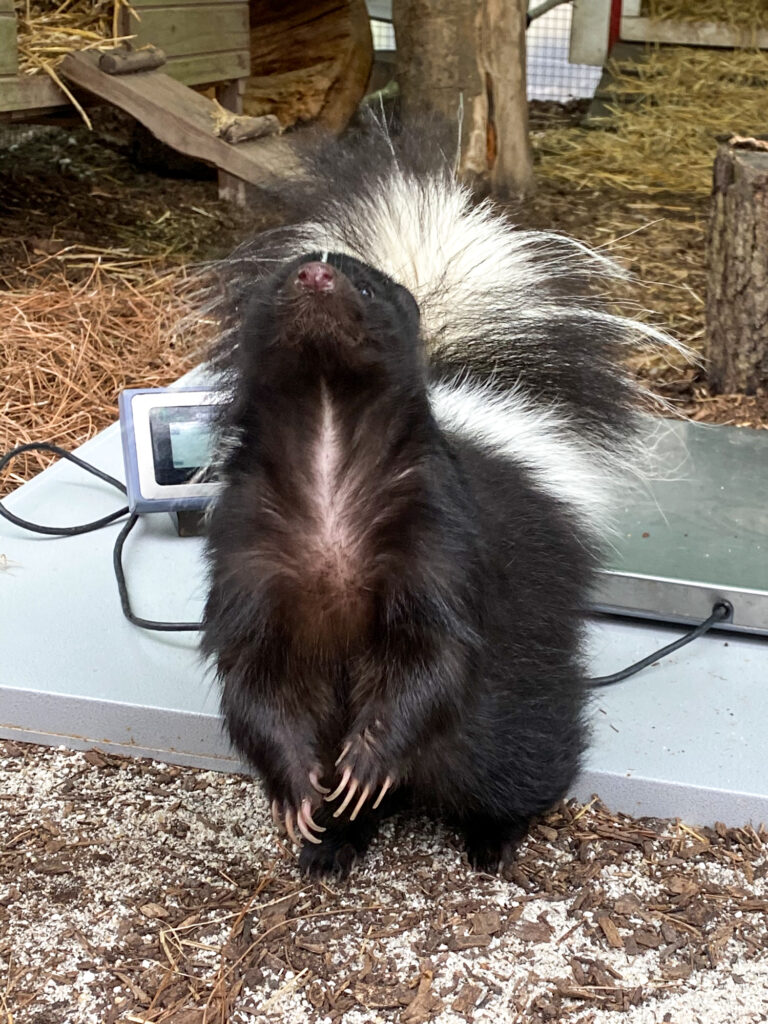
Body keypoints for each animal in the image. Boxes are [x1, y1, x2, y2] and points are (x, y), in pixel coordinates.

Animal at [199, 117, 679, 872]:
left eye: (365, 289)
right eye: (284, 281)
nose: (316, 275)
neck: (330, 441)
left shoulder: (436, 537)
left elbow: (433, 656)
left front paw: (366, 764)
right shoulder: (250, 545)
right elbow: (256, 677)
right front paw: (301, 793)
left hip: (518, 672)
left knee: (517, 747)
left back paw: (494, 838)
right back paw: (334, 841)